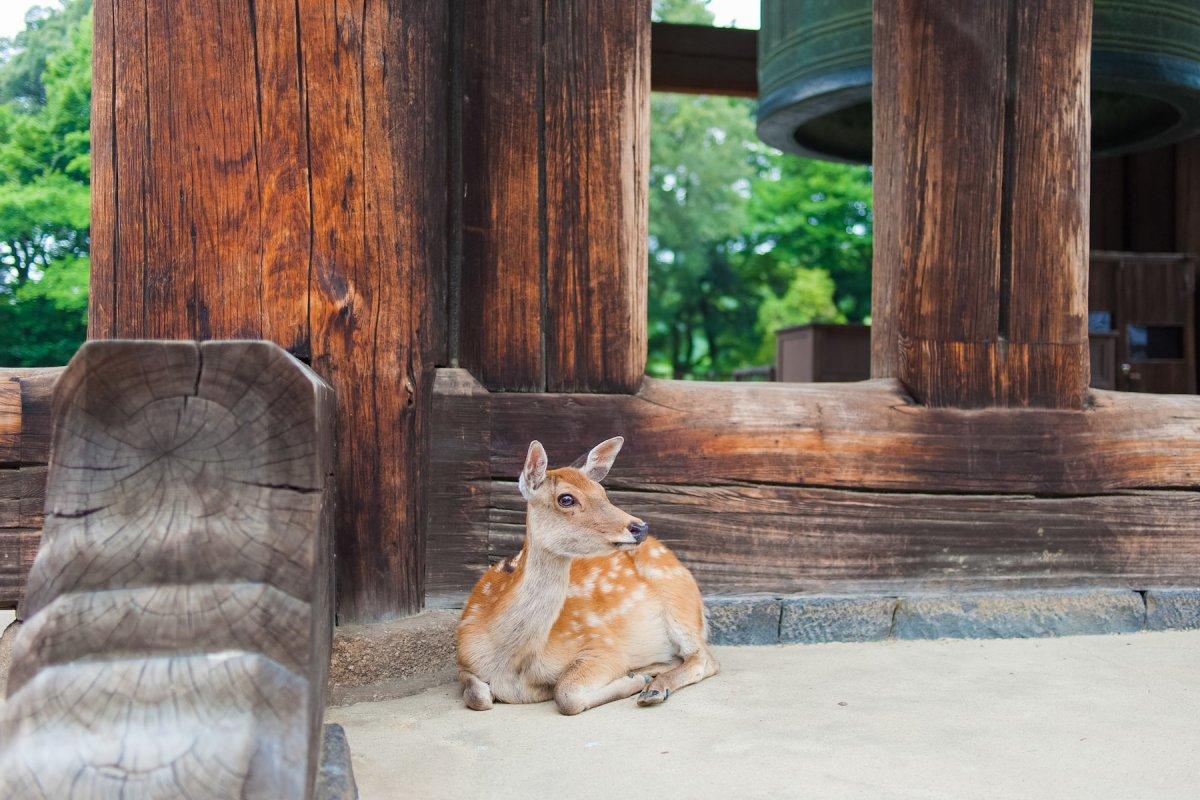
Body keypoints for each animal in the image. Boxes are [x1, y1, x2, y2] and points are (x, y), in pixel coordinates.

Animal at [456, 438, 720, 719]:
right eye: (566, 498)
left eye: (602, 491)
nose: (640, 527)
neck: (512, 664)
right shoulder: (463, 659)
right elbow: (477, 696)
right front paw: (636, 677)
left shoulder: (601, 645)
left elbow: (566, 694)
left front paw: (634, 681)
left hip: (678, 600)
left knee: (704, 658)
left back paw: (653, 688)